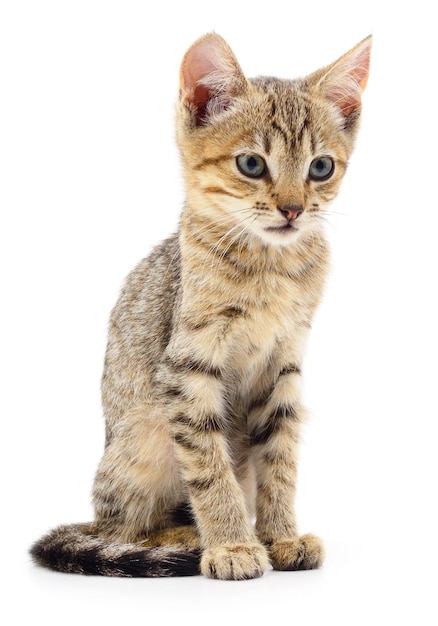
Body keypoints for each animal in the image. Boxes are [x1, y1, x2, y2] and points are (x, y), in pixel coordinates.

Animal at [31, 33, 370, 580]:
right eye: (252, 164)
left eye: (321, 168)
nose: (293, 209)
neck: (270, 266)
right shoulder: (188, 369)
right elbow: (210, 467)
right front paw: (231, 544)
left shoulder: (285, 366)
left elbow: (280, 460)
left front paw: (281, 535)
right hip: (142, 434)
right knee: (122, 529)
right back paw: (183, 536)